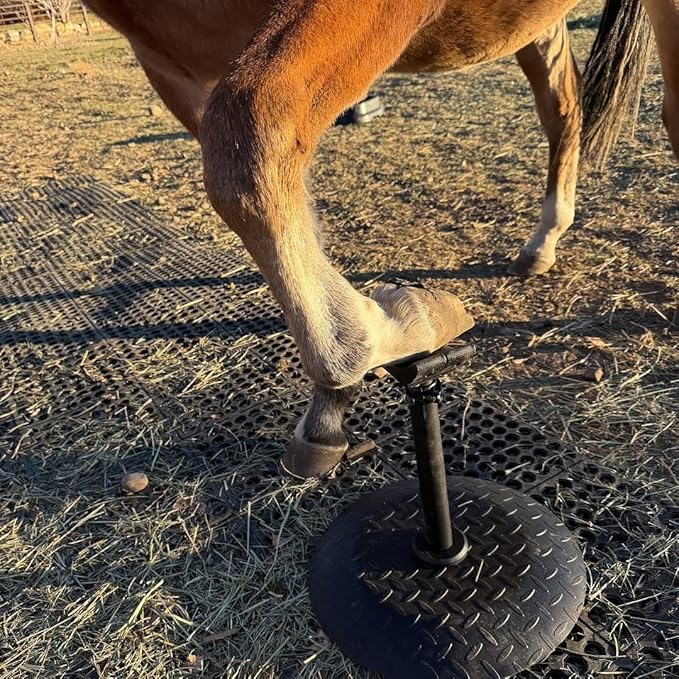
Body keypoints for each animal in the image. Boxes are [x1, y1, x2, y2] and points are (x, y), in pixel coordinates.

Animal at [82, 0, 678, 478]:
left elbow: (250, 142)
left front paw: (390, 329)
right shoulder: (172, 64)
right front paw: (332, 402)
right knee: (562, 108)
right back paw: (543, 240)